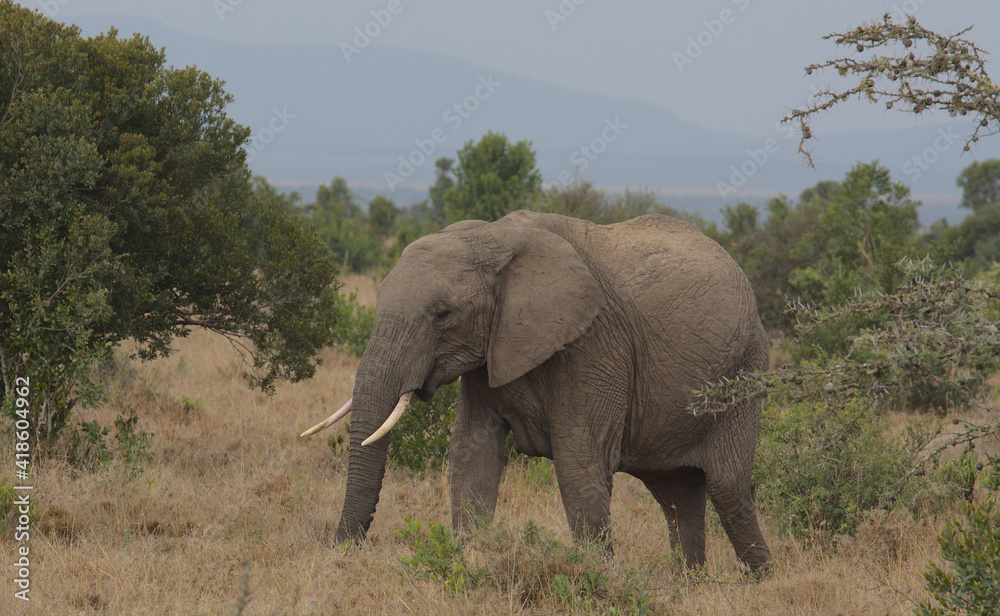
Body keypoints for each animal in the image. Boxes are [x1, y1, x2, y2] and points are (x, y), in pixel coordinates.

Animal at [301, 209, 771, 573]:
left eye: (441, 314)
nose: (341, 553)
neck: (493, 237)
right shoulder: (491, 350)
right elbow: (472, 453)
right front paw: (469, 564)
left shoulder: (594, 343)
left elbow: (580, 463)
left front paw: (598, 579)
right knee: (677, 496)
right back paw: (688, 584)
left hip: (745, 373)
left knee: (727, 487)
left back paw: (760, 581)